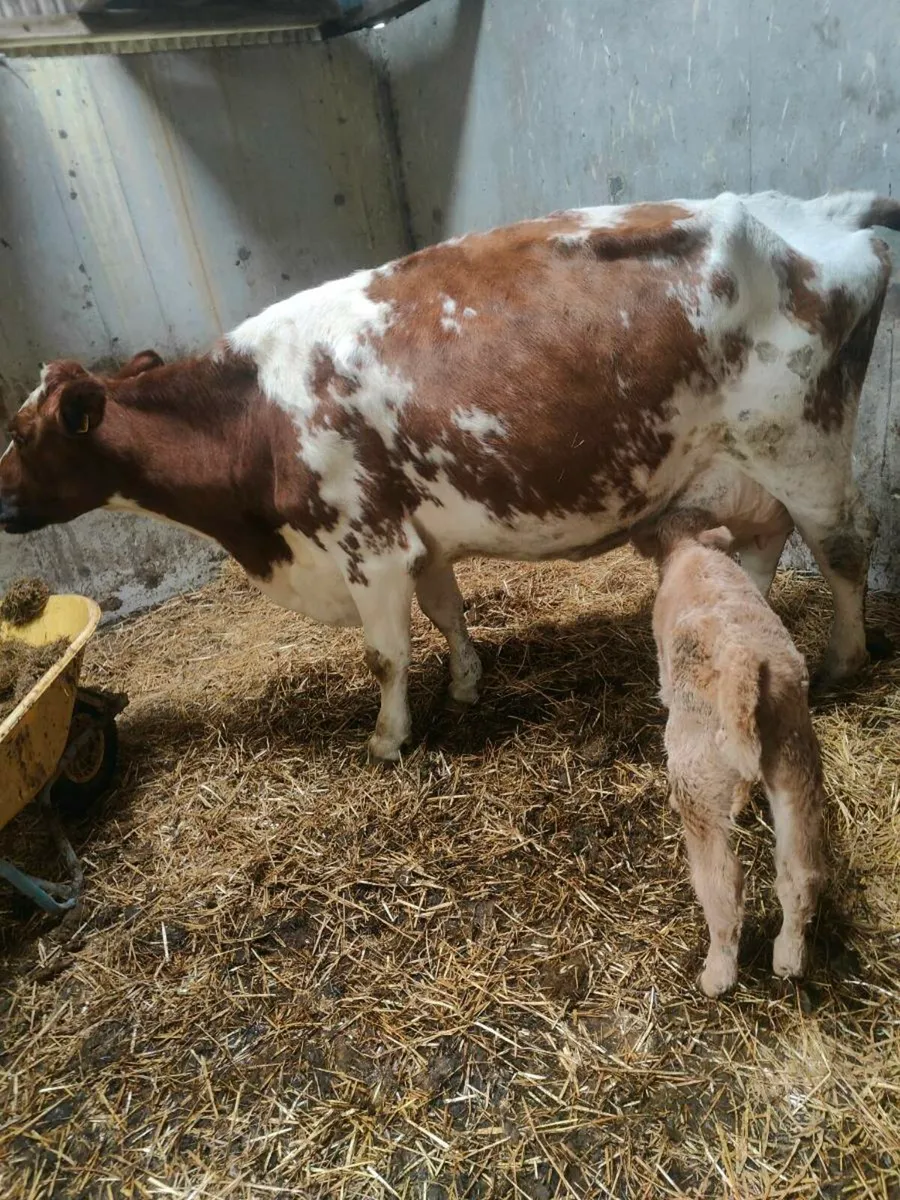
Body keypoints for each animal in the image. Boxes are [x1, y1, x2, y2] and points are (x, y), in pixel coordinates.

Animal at [1, 190, 897, 760]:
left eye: (22, 434)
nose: (1, 506)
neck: (257, 412)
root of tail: (816, 209)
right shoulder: (415, 539)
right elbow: (447, 613)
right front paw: (466, 684)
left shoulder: (366, 543)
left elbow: (386, 654)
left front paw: (388, 738)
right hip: (744, 460)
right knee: (765, 540)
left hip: (803, 442)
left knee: (845, 545)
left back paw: (842, 661)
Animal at [633, 508, 826, 997]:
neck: (690, 548)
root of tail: (744, 667)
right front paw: (740, 801)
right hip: (795, 759)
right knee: (799, 874)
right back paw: (789, 958)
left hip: (697, 775)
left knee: (722, 886)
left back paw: (717, 975)